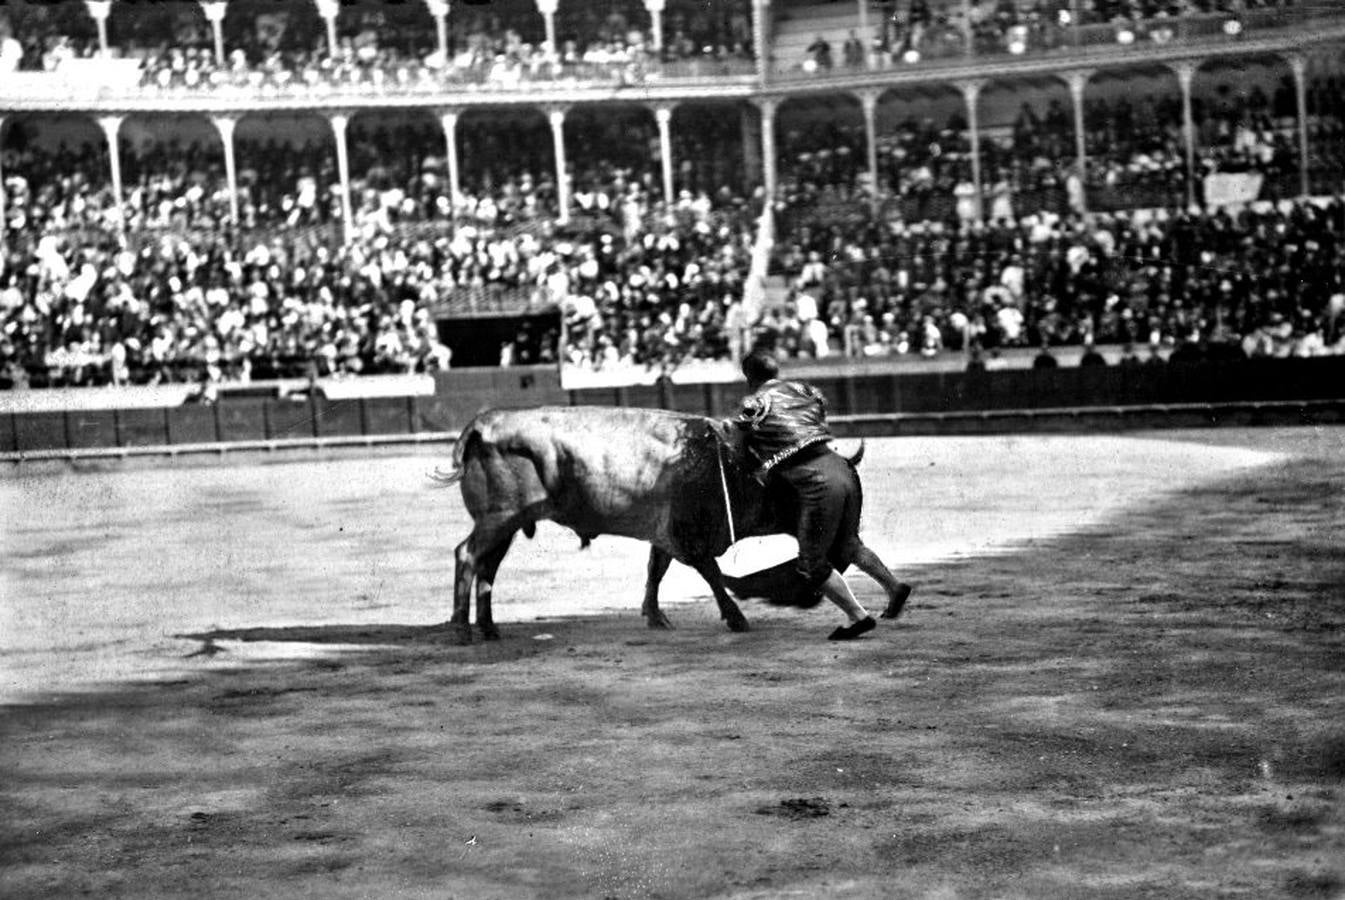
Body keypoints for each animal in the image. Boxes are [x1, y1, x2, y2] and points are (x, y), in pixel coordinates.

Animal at [435, 403, 909, 643]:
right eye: (793, 491)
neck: (737, 463)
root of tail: (482, 423)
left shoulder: (668, 534)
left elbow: (655, 570)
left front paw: (655, 616)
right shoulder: (691, 535)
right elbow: (712, 575)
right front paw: (737, 618)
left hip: (507, 523)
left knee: (488, 567)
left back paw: (489, 628)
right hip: (499, 518)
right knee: (468, 555)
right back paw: (461, 628)